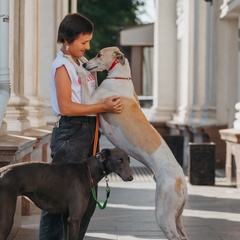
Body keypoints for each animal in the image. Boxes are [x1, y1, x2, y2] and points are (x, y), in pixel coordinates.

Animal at [0, 148, 133, 240]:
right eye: (119, 160)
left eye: (129, 160)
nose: (130, 178)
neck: (88, 170)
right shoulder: (74, 219)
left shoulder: (65, 219)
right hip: (6, 221)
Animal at [83, 46, 188, 239]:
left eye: (99, 55)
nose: (85, 64)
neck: (120, 78)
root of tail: (181, 184)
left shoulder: (91, 102)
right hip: (177, 217)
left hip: (164, 215)